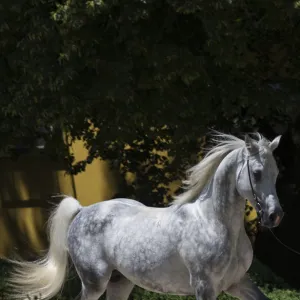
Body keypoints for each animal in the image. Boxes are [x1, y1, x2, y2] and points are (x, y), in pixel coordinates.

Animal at [7, 132, 284, 298]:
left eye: (277, 173)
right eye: (257, 173)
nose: (275, 216)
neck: (215, 223)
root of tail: (82, 210)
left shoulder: (238, 283)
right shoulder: (205, 287)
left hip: (120, 282)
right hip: (95, 282)